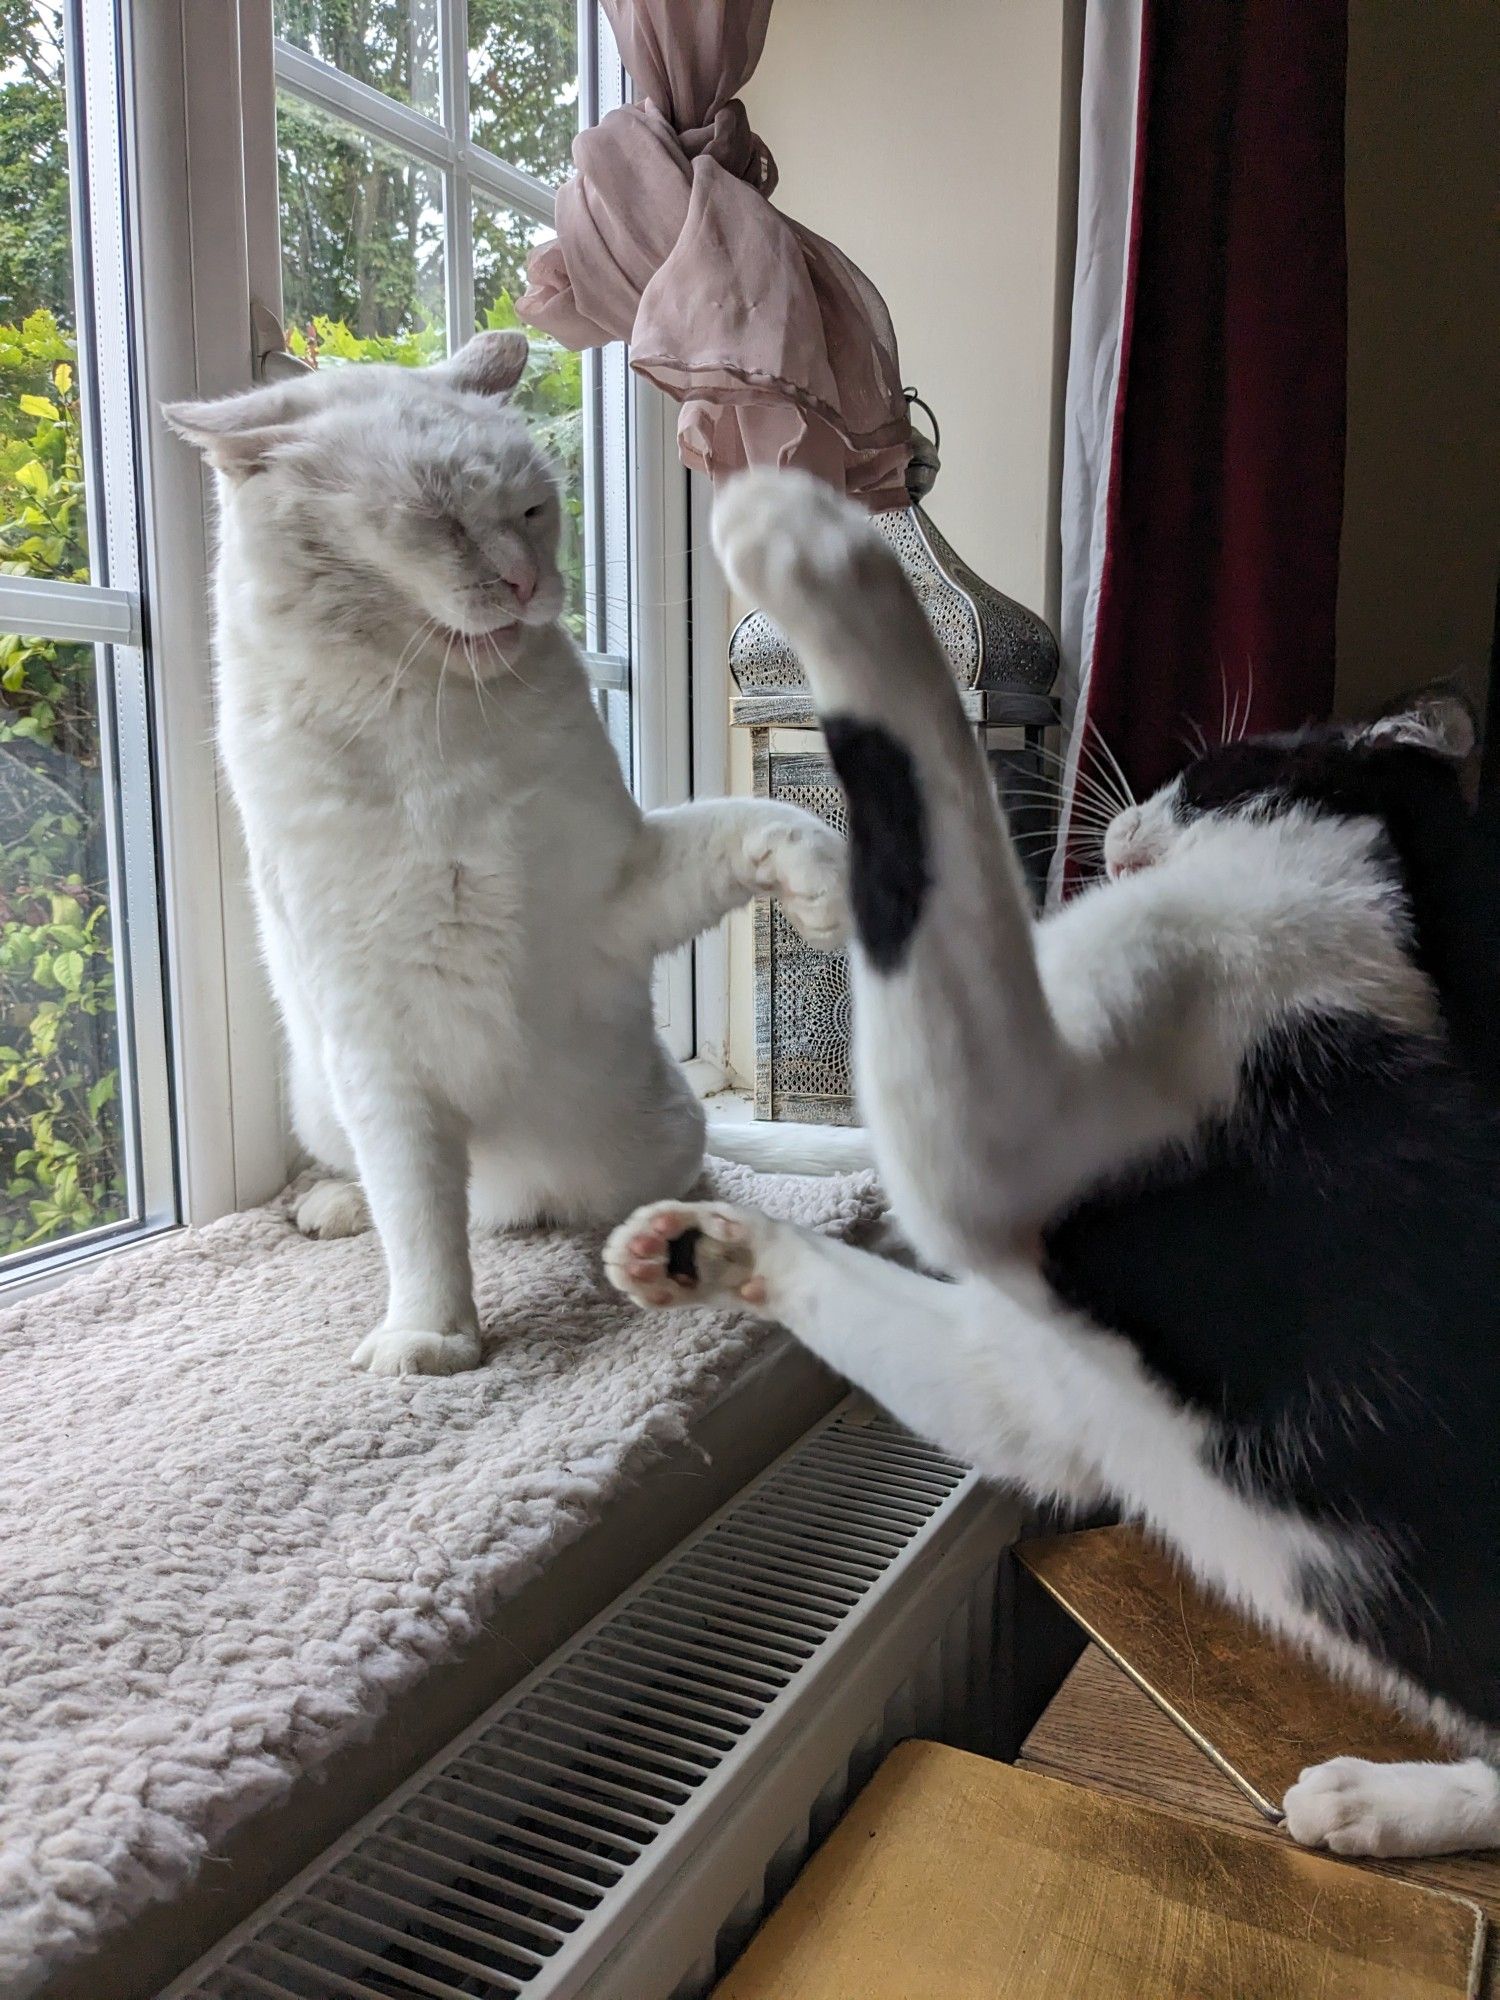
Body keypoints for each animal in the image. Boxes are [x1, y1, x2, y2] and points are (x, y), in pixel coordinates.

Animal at [167, 340, 848, 1376]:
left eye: (532, 510)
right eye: (439, 521)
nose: (529, 583)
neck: (430, 720)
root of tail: (509, 1200)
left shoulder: (621, 892)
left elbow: (761, 822)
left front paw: (827, 896)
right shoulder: (378, 1045)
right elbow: (417, 1216)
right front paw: (432, 1341)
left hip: (649, 1137)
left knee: (680, 1173)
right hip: (325, 1089)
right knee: (385, 1191)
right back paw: (334, 1208)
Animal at [608, 464, 1500, 1856]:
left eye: (1203, 771)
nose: (1126, 810)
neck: (1378, 943)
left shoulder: (1004, 1135)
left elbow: (929, 811)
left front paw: (824, 553)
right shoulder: (1045, 1391)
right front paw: (704, 1232)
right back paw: (1383, 1801)